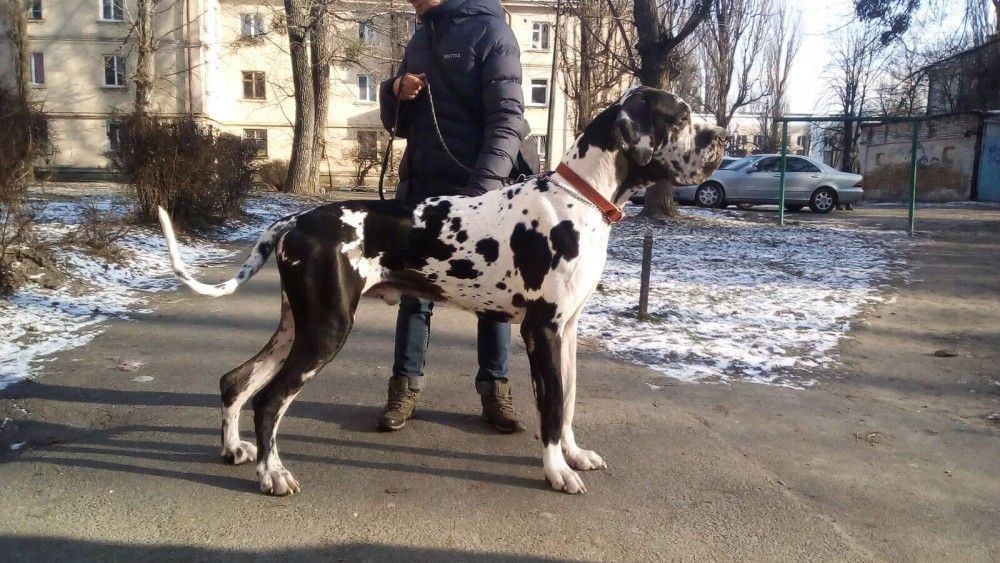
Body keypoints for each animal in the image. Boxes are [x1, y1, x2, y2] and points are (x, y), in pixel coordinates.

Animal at [158, 87, 726, 496]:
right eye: (679, 116)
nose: (722, 135)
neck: (579, 198)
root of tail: (295, 221)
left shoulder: (565, 330)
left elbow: (567, 402)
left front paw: (575, 454)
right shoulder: (541, 330)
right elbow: (549, 408)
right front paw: (556, 471)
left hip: (296, 326)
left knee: (237, 380)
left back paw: (234, 449)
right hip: (326, 329)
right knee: (270, 400)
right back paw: (272, 474)